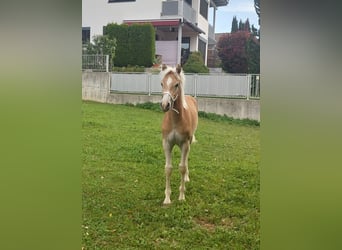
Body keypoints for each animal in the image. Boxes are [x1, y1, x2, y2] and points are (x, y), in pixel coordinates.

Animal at [160, 64, 198, 205]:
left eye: (176, 84)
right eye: (162, 83)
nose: (165, 105)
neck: (175, 121)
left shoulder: (184, 144)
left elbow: (182, 167)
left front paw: (181, 196)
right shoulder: (167, 143)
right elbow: (168, 169)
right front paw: (167, 198)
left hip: (189, 142)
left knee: (186, 161)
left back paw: (186, 178)